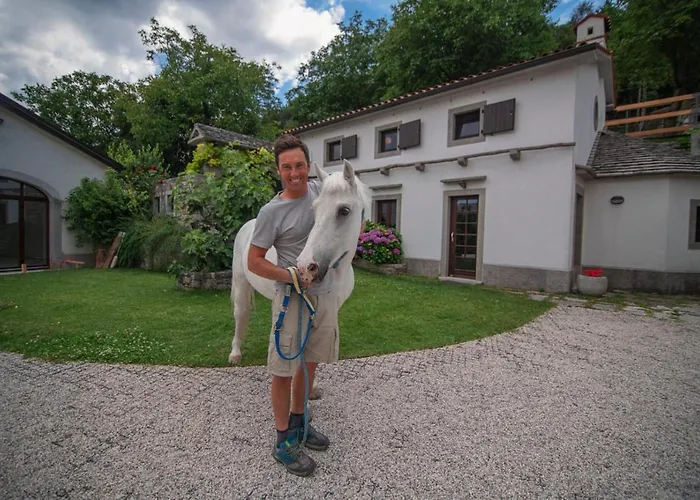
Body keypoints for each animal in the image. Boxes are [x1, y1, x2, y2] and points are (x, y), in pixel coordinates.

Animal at [228, 159, 371, 365]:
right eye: (315, 209)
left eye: (344, 211)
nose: (306, 266)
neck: (337, 274)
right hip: (241, 283)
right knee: (240, 314)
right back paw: (235, 353)